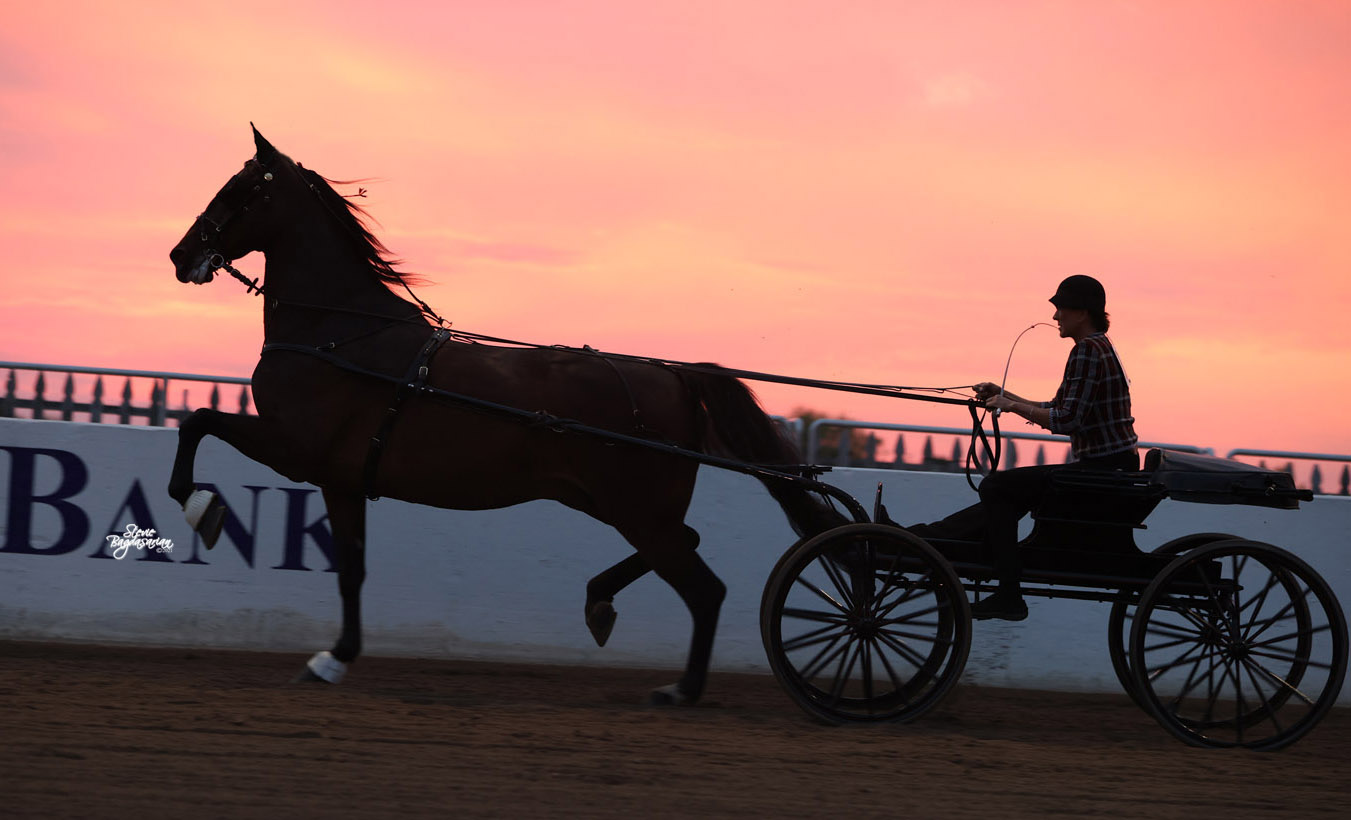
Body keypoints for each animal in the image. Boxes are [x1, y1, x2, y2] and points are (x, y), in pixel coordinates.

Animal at [166, 126, 846, 704]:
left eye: (240, 189)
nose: (180, 254)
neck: (338, 335)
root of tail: (673, 375)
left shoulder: (295, 448)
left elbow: (198, 421)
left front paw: (203, 509)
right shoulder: (341, 479)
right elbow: (351, 568)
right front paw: (334, 658)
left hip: (635, 508)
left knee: (704, 588)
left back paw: (682, 688)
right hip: (613, 503)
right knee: (685, 549)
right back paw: (600, 603)